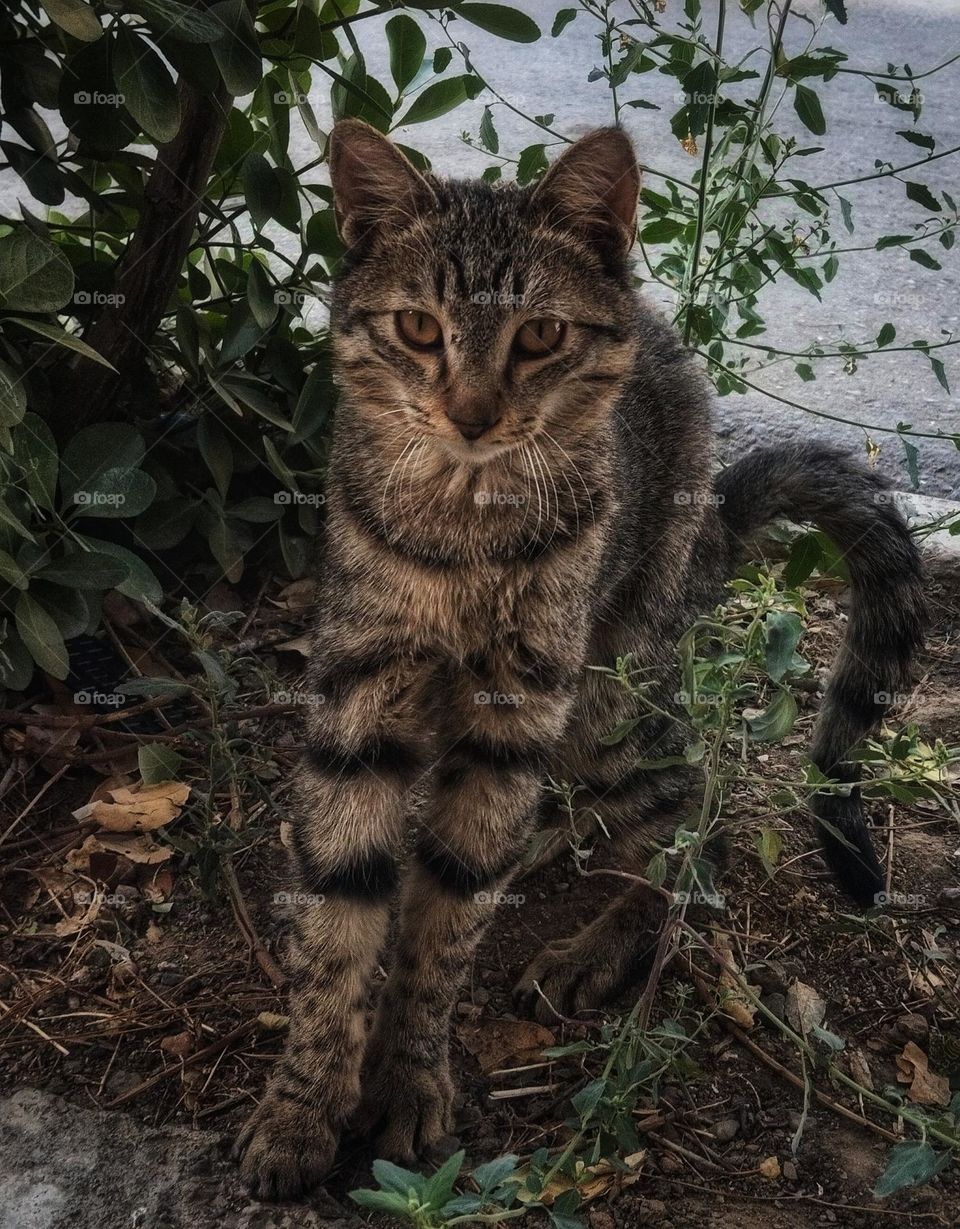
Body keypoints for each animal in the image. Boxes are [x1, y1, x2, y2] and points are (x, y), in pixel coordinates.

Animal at [232, 119, 919, 1194]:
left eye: (541, 336)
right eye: (418, 328)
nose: (471, 415)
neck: (462, 527)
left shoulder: (512, 714)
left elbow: (445, 927)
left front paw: (411, 1078)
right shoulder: (359, 705)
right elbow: (341, 918)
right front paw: (301, 1106)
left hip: (607, 695)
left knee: (698, 818)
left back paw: (601, 939)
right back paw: (552, 837)